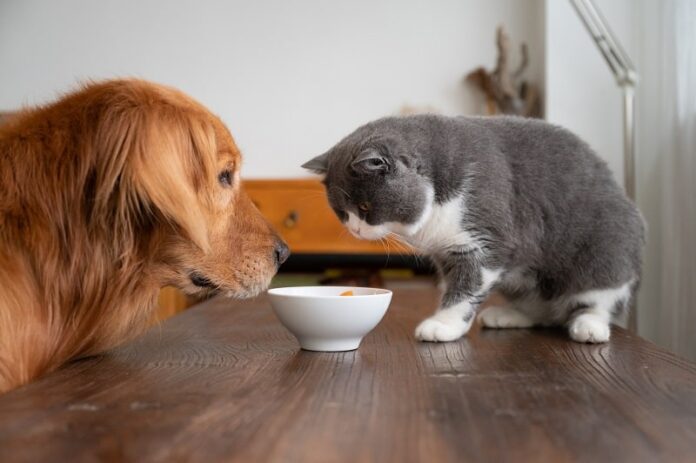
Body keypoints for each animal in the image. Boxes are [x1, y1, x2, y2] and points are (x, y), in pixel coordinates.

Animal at [304, 116, 648, 344]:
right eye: (341, 212)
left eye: (364, 207)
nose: (356, 230)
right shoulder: (446, 250)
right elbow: (453, 284)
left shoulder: (483, 240)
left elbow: (465, 287)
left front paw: (442, 325)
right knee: (544, 312)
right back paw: (509, 315)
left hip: (608, 250)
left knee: (597, 299)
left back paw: (589, 326)